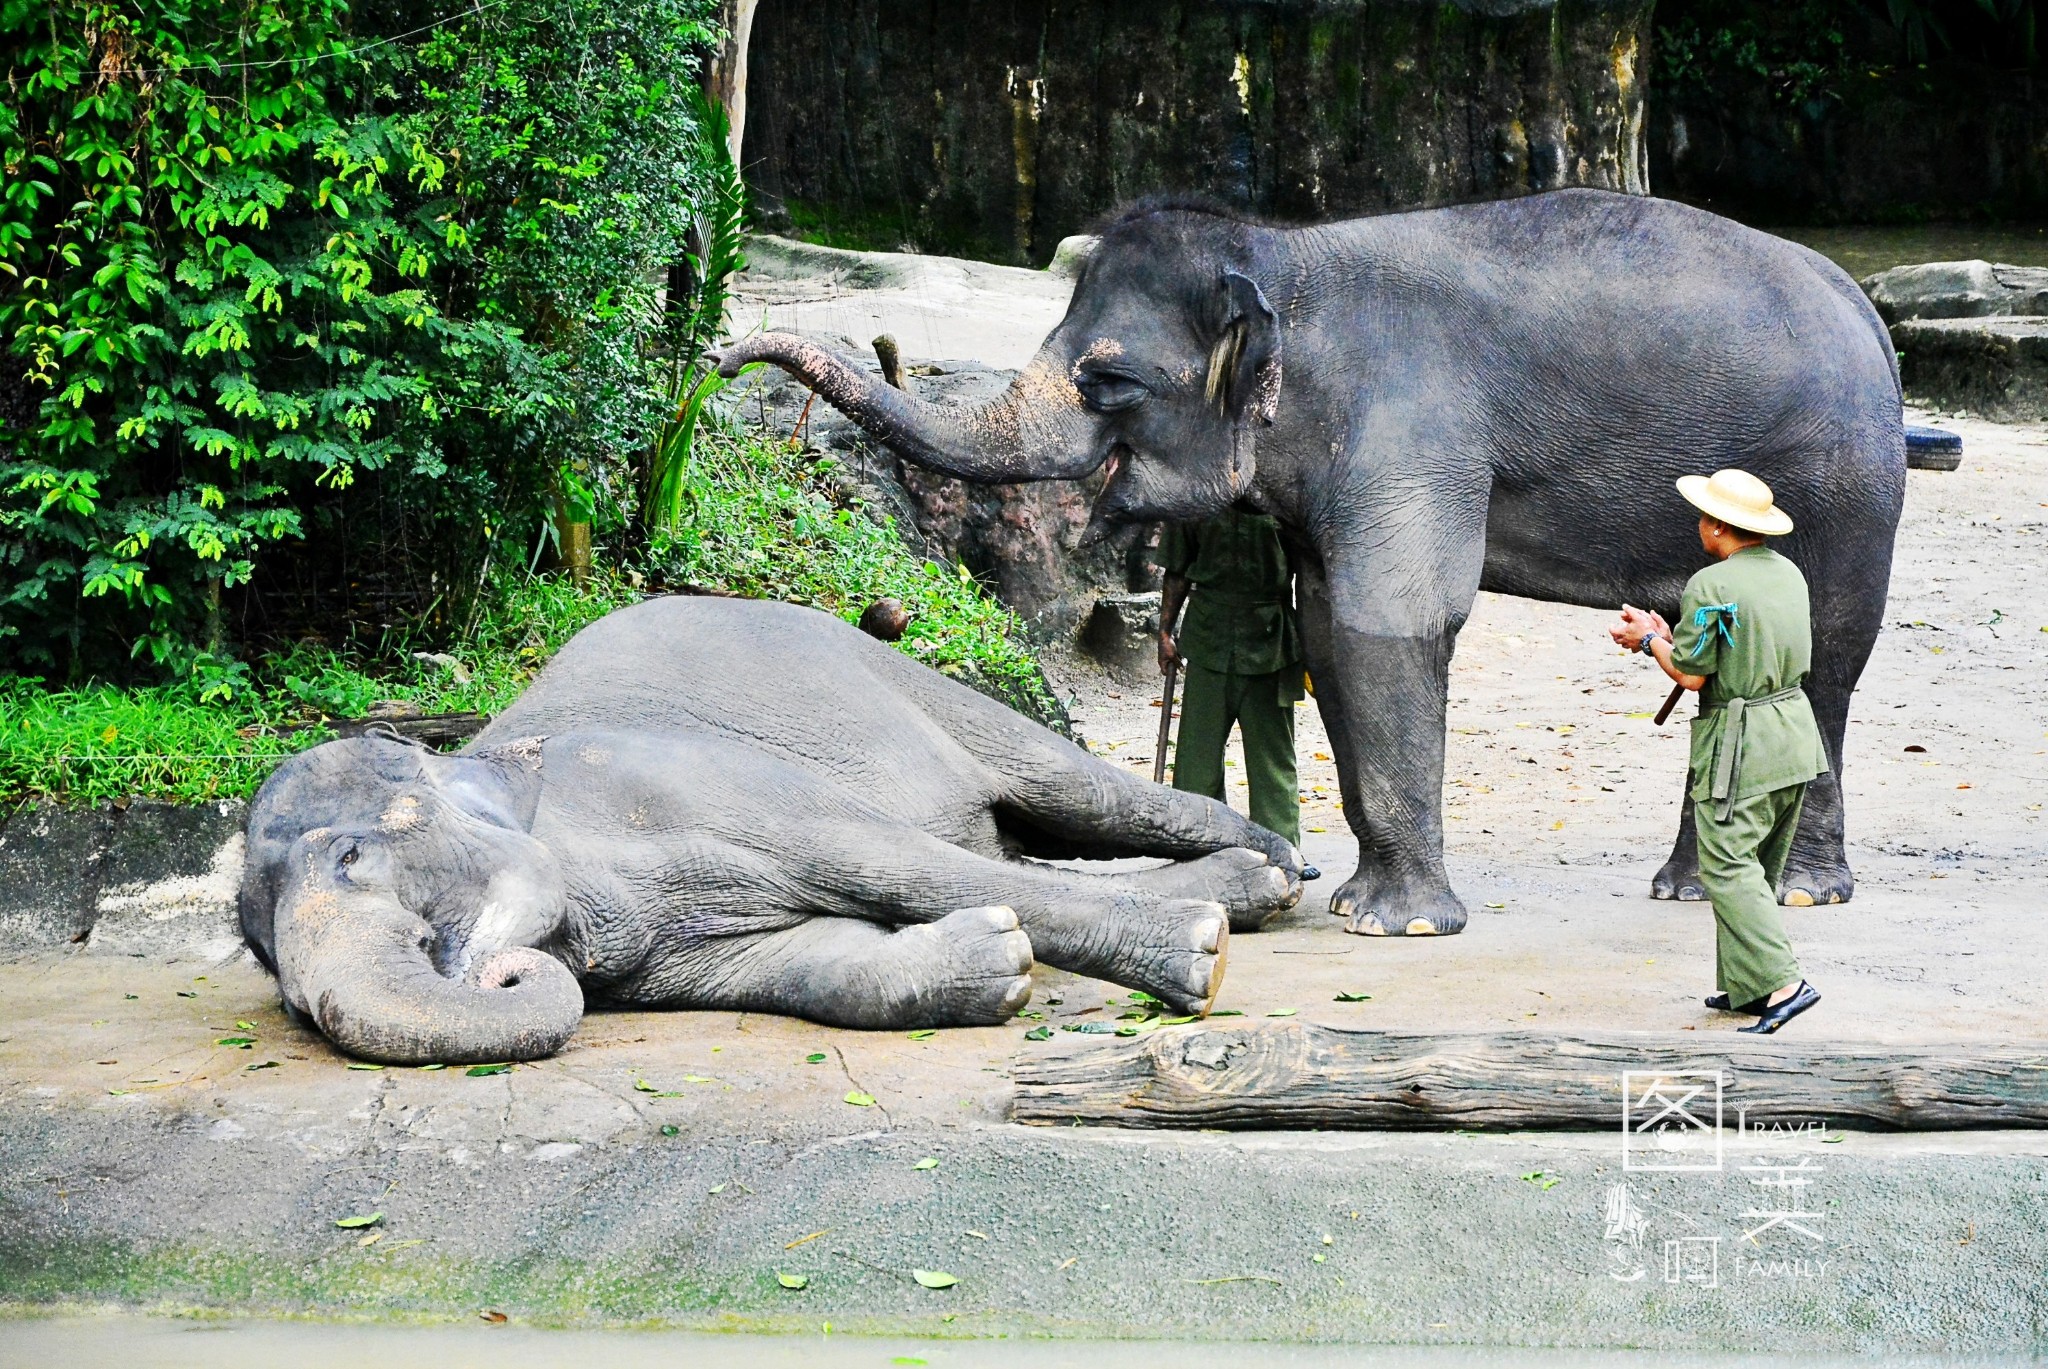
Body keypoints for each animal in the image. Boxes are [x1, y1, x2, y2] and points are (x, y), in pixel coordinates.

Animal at [235, 602, 1294, 1065]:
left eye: (352, 856)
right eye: (270, 973)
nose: (492, 969)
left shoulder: (677, 780)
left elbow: (892, 861)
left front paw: (1200, 961)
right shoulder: (661, 957)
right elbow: (812, 962)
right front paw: (996, 963)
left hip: (907, 680)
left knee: (1063, 791)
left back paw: (1276, 869)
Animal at [720, 187, 1900, 934]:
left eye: (1107, 381)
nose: (724, 356)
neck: (1290, 256)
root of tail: (1864, 313)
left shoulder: (1412, 430)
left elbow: (1392, 622)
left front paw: (1398, 930)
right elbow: (1331, 632)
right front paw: (1356, 905)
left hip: (1841, 485)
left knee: (1827, 655)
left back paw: (1798, 894)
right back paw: (1691, 890)